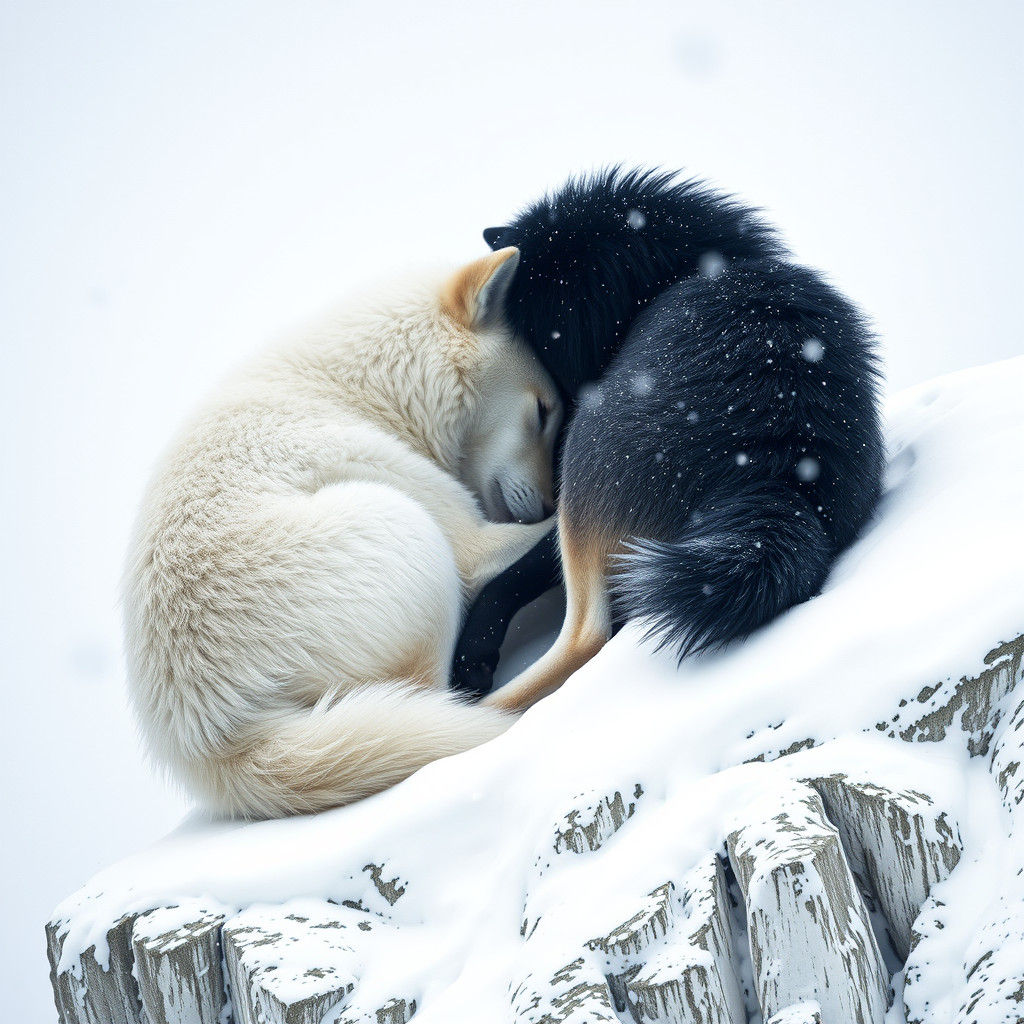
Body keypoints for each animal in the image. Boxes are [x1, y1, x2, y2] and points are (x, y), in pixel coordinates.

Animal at [124, 247, 562, 818]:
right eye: (544, 411)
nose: (548, 500)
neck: (352, 388)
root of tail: (216, 739)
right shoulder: (462, 538)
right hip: (404, 528)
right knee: (429, 690)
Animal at [451, 168, 885, 711]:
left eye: (538, 348)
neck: (685, 270)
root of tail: (777, 475)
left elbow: (512, 578)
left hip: (586, 464)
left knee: (585, 635)